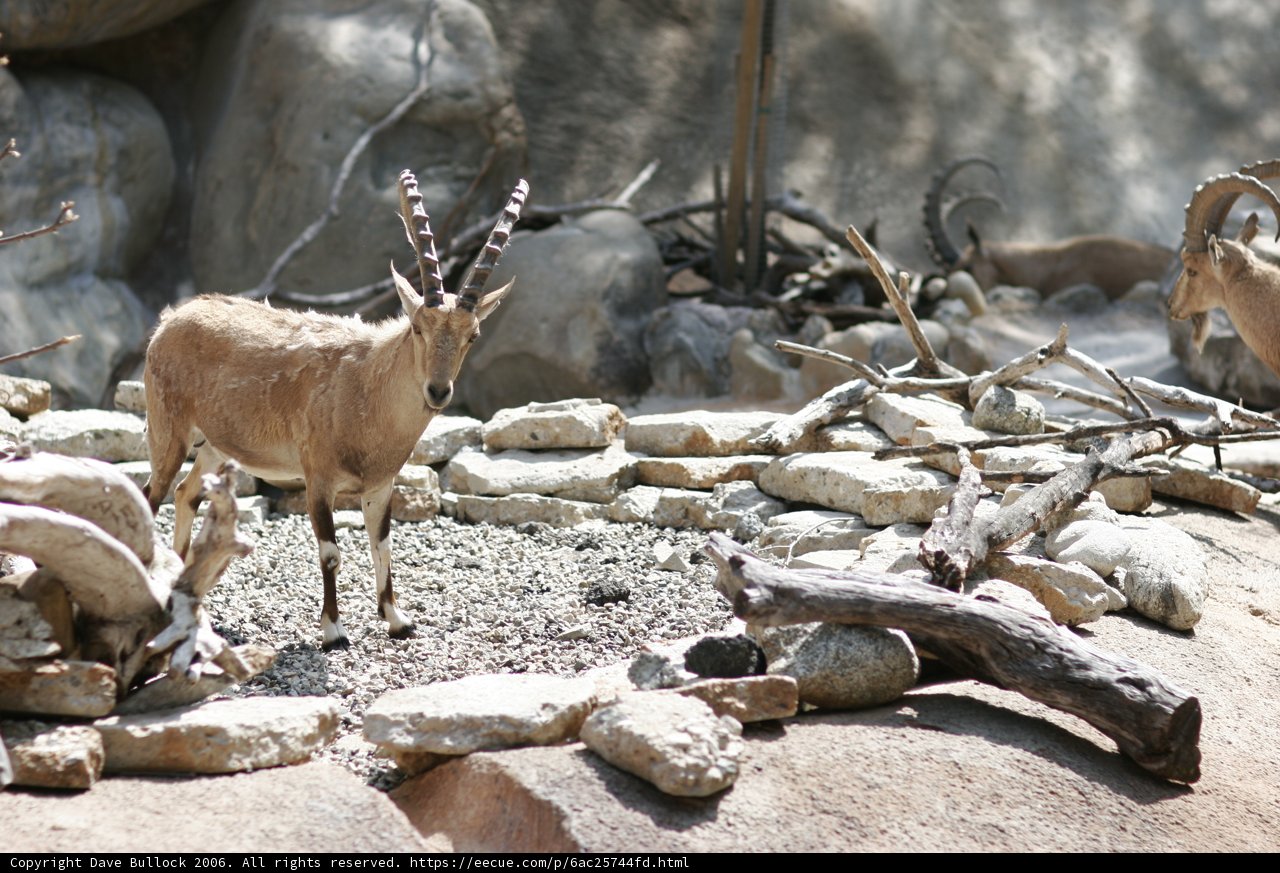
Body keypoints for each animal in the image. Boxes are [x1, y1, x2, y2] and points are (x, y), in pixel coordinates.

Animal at [143, 171, 528, 649]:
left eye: (472, 335)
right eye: (418, 327)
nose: (438, 391)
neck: (365, 391)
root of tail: (170, 320)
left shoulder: (380, 485)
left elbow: (382, 544)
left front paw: (397, 620)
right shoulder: (318, 479)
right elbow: (330, 552)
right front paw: (333, 630)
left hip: (215, 446)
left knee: (185, 494)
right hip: (168, 430)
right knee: (152, 495)